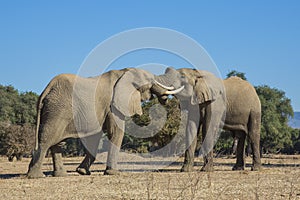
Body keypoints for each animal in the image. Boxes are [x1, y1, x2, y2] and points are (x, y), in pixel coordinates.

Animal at [26, 68, 183, 178]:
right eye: (150, 81)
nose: (164, 99)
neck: (124, 72)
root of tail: (46, 90)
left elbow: (96, 137)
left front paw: (82, 172)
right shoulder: (112, 105)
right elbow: (116, 132)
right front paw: (113, 173)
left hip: (54, 109)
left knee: (56, 142)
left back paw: (60, 175)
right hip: (58, 109)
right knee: (47, 139)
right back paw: (35, 176)